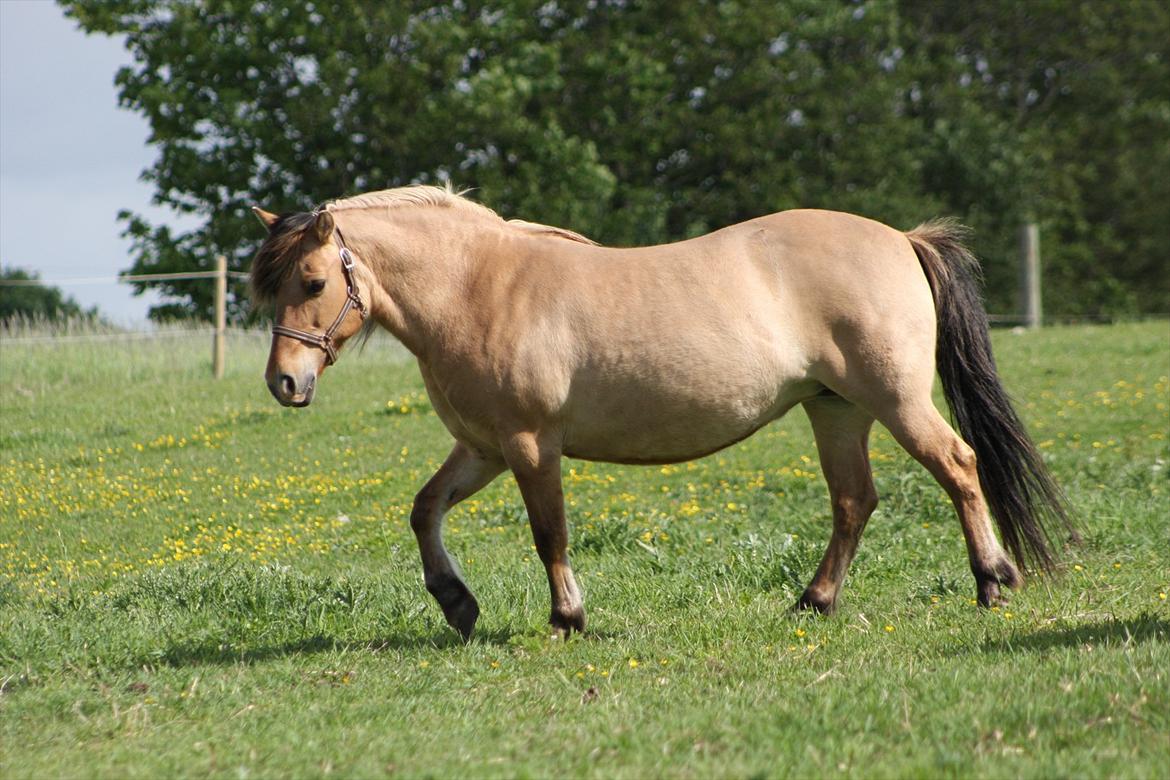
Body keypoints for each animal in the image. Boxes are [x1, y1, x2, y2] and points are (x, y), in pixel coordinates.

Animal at [251, 187, 1071, 640]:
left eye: (314, 280)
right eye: (271, 286)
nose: (285, 383)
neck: (479, 286)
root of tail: (902, 238)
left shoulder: (529, 445)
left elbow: (549, 535)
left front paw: (567, 618)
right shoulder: (482, 449)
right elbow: (424, 511)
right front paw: (457, 603)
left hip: (895, 400)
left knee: (958, 467)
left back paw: (993, 580)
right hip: (836, 411)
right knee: (854, 503)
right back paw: (814, 603)